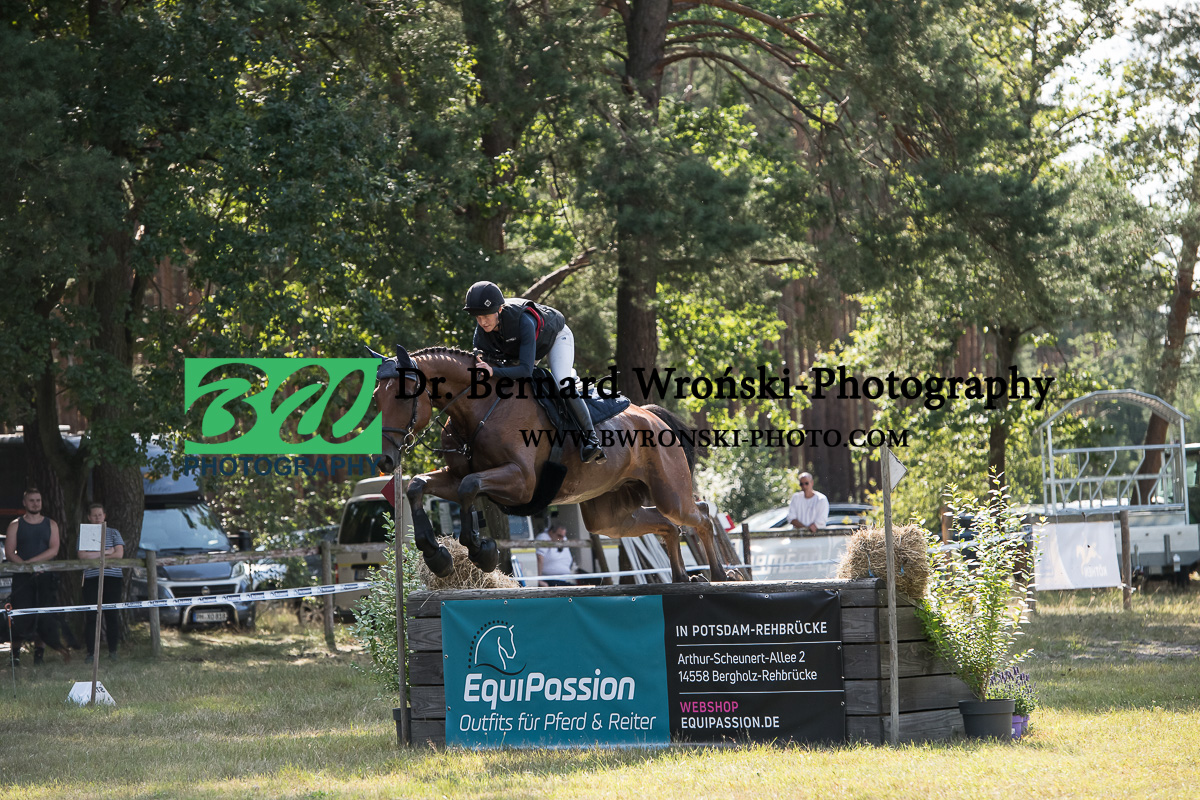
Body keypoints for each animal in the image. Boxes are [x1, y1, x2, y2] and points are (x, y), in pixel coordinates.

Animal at [371, 345, 728, 584]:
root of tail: (654, 417)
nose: (384, 459)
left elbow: (469, 487)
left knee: (700, 514)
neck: (479, 409)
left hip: (670, 493)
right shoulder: (455, 475)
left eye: (402, 396)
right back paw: (682, 578)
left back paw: (720, 574)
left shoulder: (522, 483)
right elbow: (419, 486)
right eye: (376, 398)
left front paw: (481, 551)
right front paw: (438, 557)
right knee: (667, 525)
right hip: (608, 516)